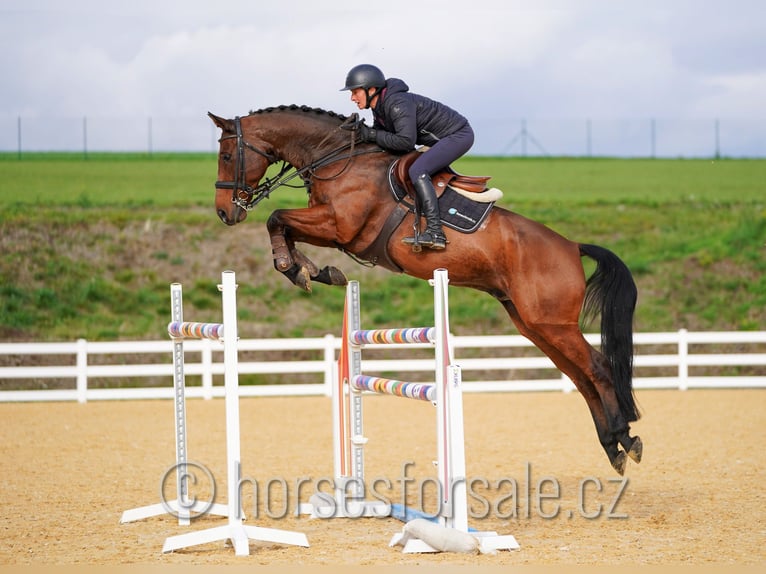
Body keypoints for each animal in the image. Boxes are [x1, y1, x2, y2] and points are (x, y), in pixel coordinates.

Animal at [208, 105, 642, 475]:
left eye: (227, 156)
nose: (225, 213)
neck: (335, 157)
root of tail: (572, 246)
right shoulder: (329, 226)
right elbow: (282, 225)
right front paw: (312, 270)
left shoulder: (338, 225)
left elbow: (276, 217)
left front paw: (298, 268)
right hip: (534, 324)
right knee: (580, 377)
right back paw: (612, 446)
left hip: (553, 323)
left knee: (597, 368)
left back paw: (626, 438)